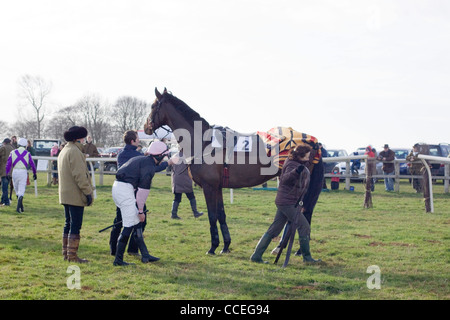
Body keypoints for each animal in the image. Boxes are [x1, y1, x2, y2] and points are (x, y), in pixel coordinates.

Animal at [144, 88, 324, 255]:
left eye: (153, 106)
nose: (146, 127)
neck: (204, 142)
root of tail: (314, 142)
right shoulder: (217, 187)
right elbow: (221, 215)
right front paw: (225, 246)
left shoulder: (209, 187)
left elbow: (212, 216)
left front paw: (213, 247)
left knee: (299, 214)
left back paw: (290, 249)